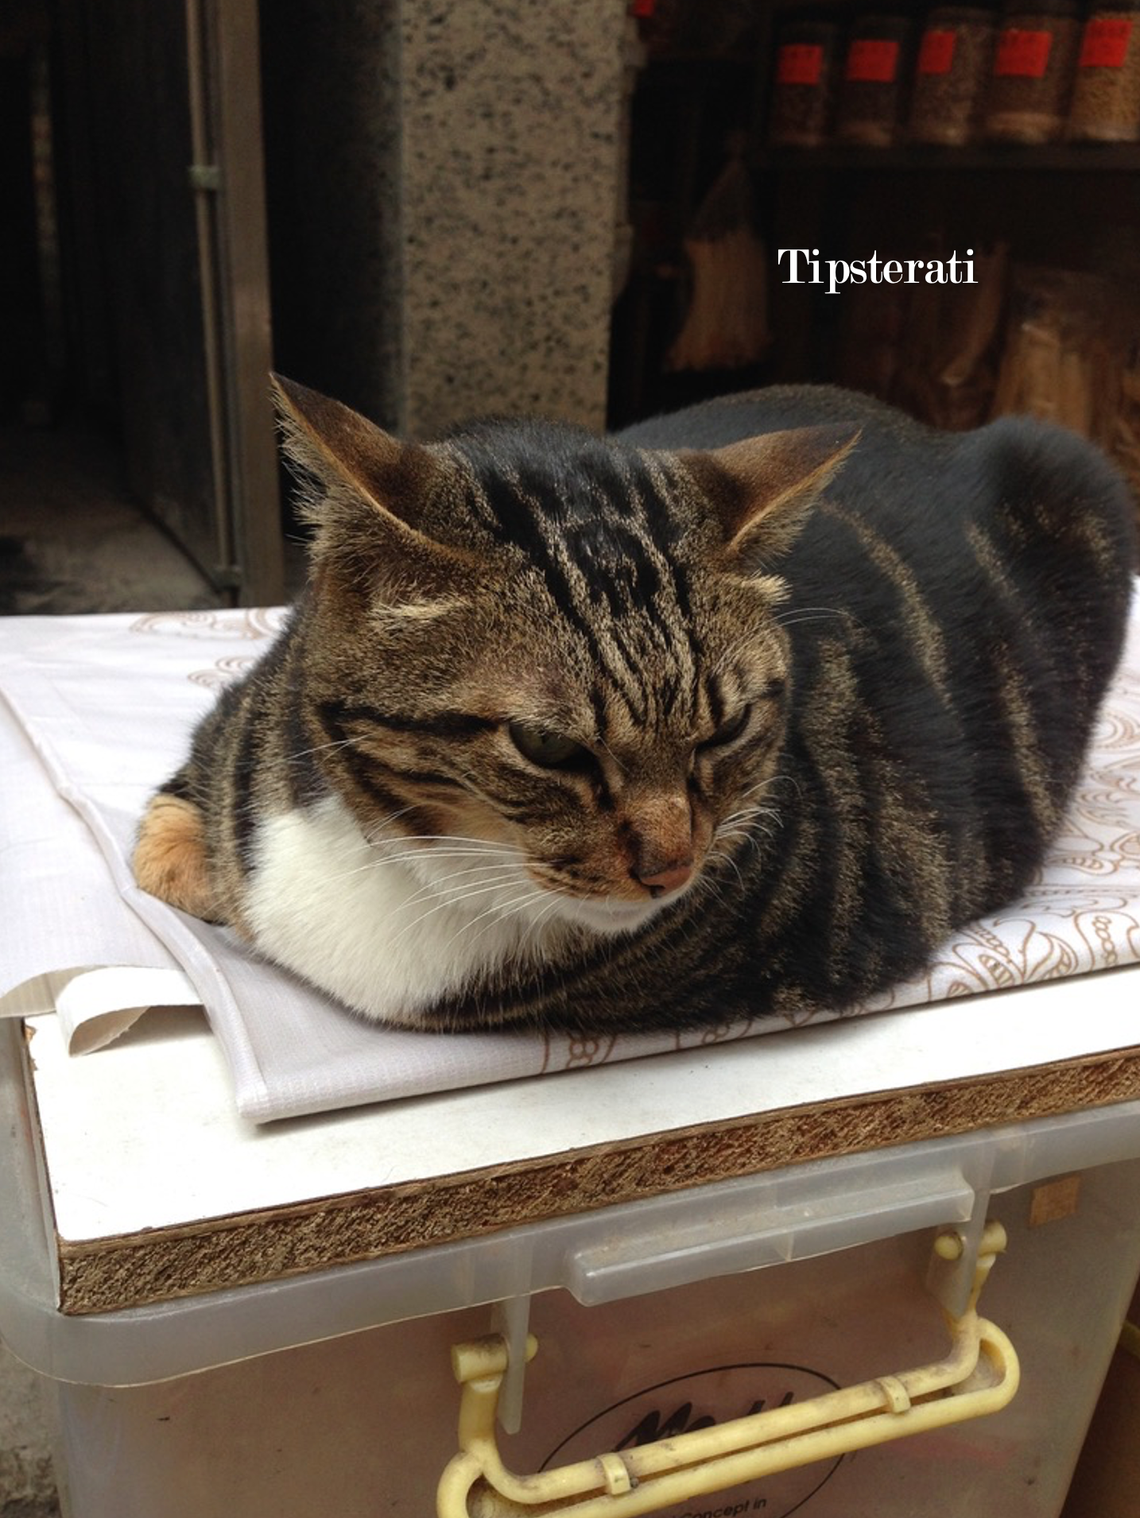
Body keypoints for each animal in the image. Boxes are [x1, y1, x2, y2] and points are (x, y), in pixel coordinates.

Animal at [131, 385, 1135, 1038]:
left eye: (726, 730)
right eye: (546, 746)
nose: (671, 866)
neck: (396, 850)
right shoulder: (241, 719)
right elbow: (165, 842)